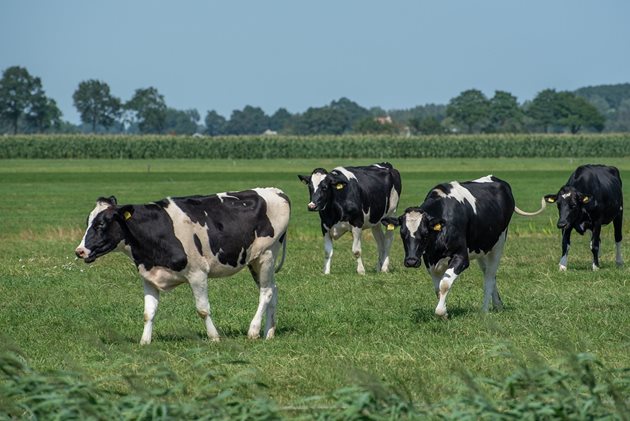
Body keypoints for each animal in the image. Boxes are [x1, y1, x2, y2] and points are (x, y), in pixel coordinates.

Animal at [76, 189, 292, 342]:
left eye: (101, 224)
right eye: (88, 222)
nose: (79, 251)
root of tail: (276, 191)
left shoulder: (197, 274)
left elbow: (202, 309)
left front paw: (214, 337)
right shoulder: (148, 276)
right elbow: (148, 313)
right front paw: (144, 341)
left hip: (266, 254)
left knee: (266, 292)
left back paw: (253, 331)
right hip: (255, 261)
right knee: (273, 289)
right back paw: (269, 333)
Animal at [382, 176, 552, 316]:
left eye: (424, 233)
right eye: (402, 233)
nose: (411, 261)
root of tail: (497, 179)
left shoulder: (461, 257)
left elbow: (444, 285)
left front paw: (441, 312)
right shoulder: (429, 260)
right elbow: (438, 289)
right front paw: (444, 312)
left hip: (498, 245)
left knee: (489, 277)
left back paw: (484, 311)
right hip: (482, 248)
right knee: (490, 274)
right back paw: (497, 305)